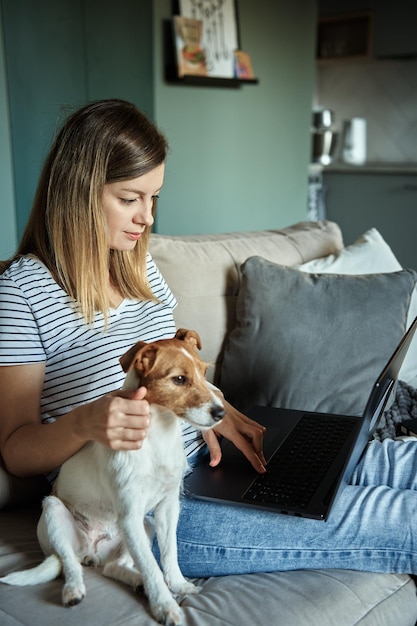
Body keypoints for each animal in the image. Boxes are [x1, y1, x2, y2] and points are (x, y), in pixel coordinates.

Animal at [0, 330, 224, 620]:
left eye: (204, 372)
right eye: (179, 379)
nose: (221, 412)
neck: (157, 436)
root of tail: (92, 552)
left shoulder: (166, 508)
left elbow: (168, 554)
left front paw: (178, 584)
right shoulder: (130, 515)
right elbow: (152, 568)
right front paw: (165, 606)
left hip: (145, 527)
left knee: (113, 567)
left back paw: (136, 581)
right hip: (53, 512)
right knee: (71, 564)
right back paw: (73, 590)